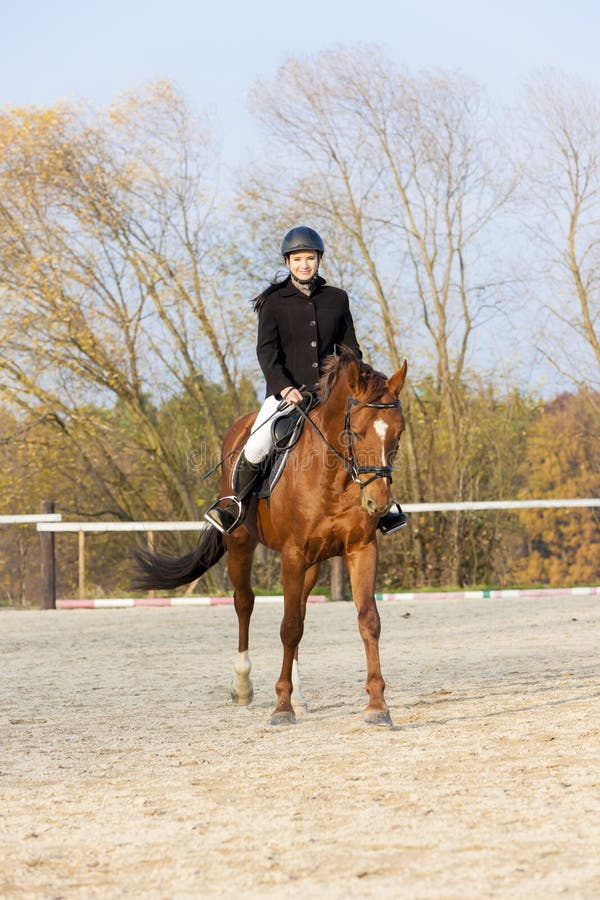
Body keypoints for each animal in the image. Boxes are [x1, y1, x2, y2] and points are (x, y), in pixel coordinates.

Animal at [136, 348, 408, 728]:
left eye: (398, 432)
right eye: (355, 432)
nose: (378, 503)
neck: (335, 478)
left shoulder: (361, 549)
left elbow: (367, 620)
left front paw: (377, 705)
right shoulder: (292, 554)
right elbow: (288, 627)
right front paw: (281, 706)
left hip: (312, 563)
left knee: (300, 611)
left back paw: (301, 696)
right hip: (240, 543)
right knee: (245, 603)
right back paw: (243, 686)